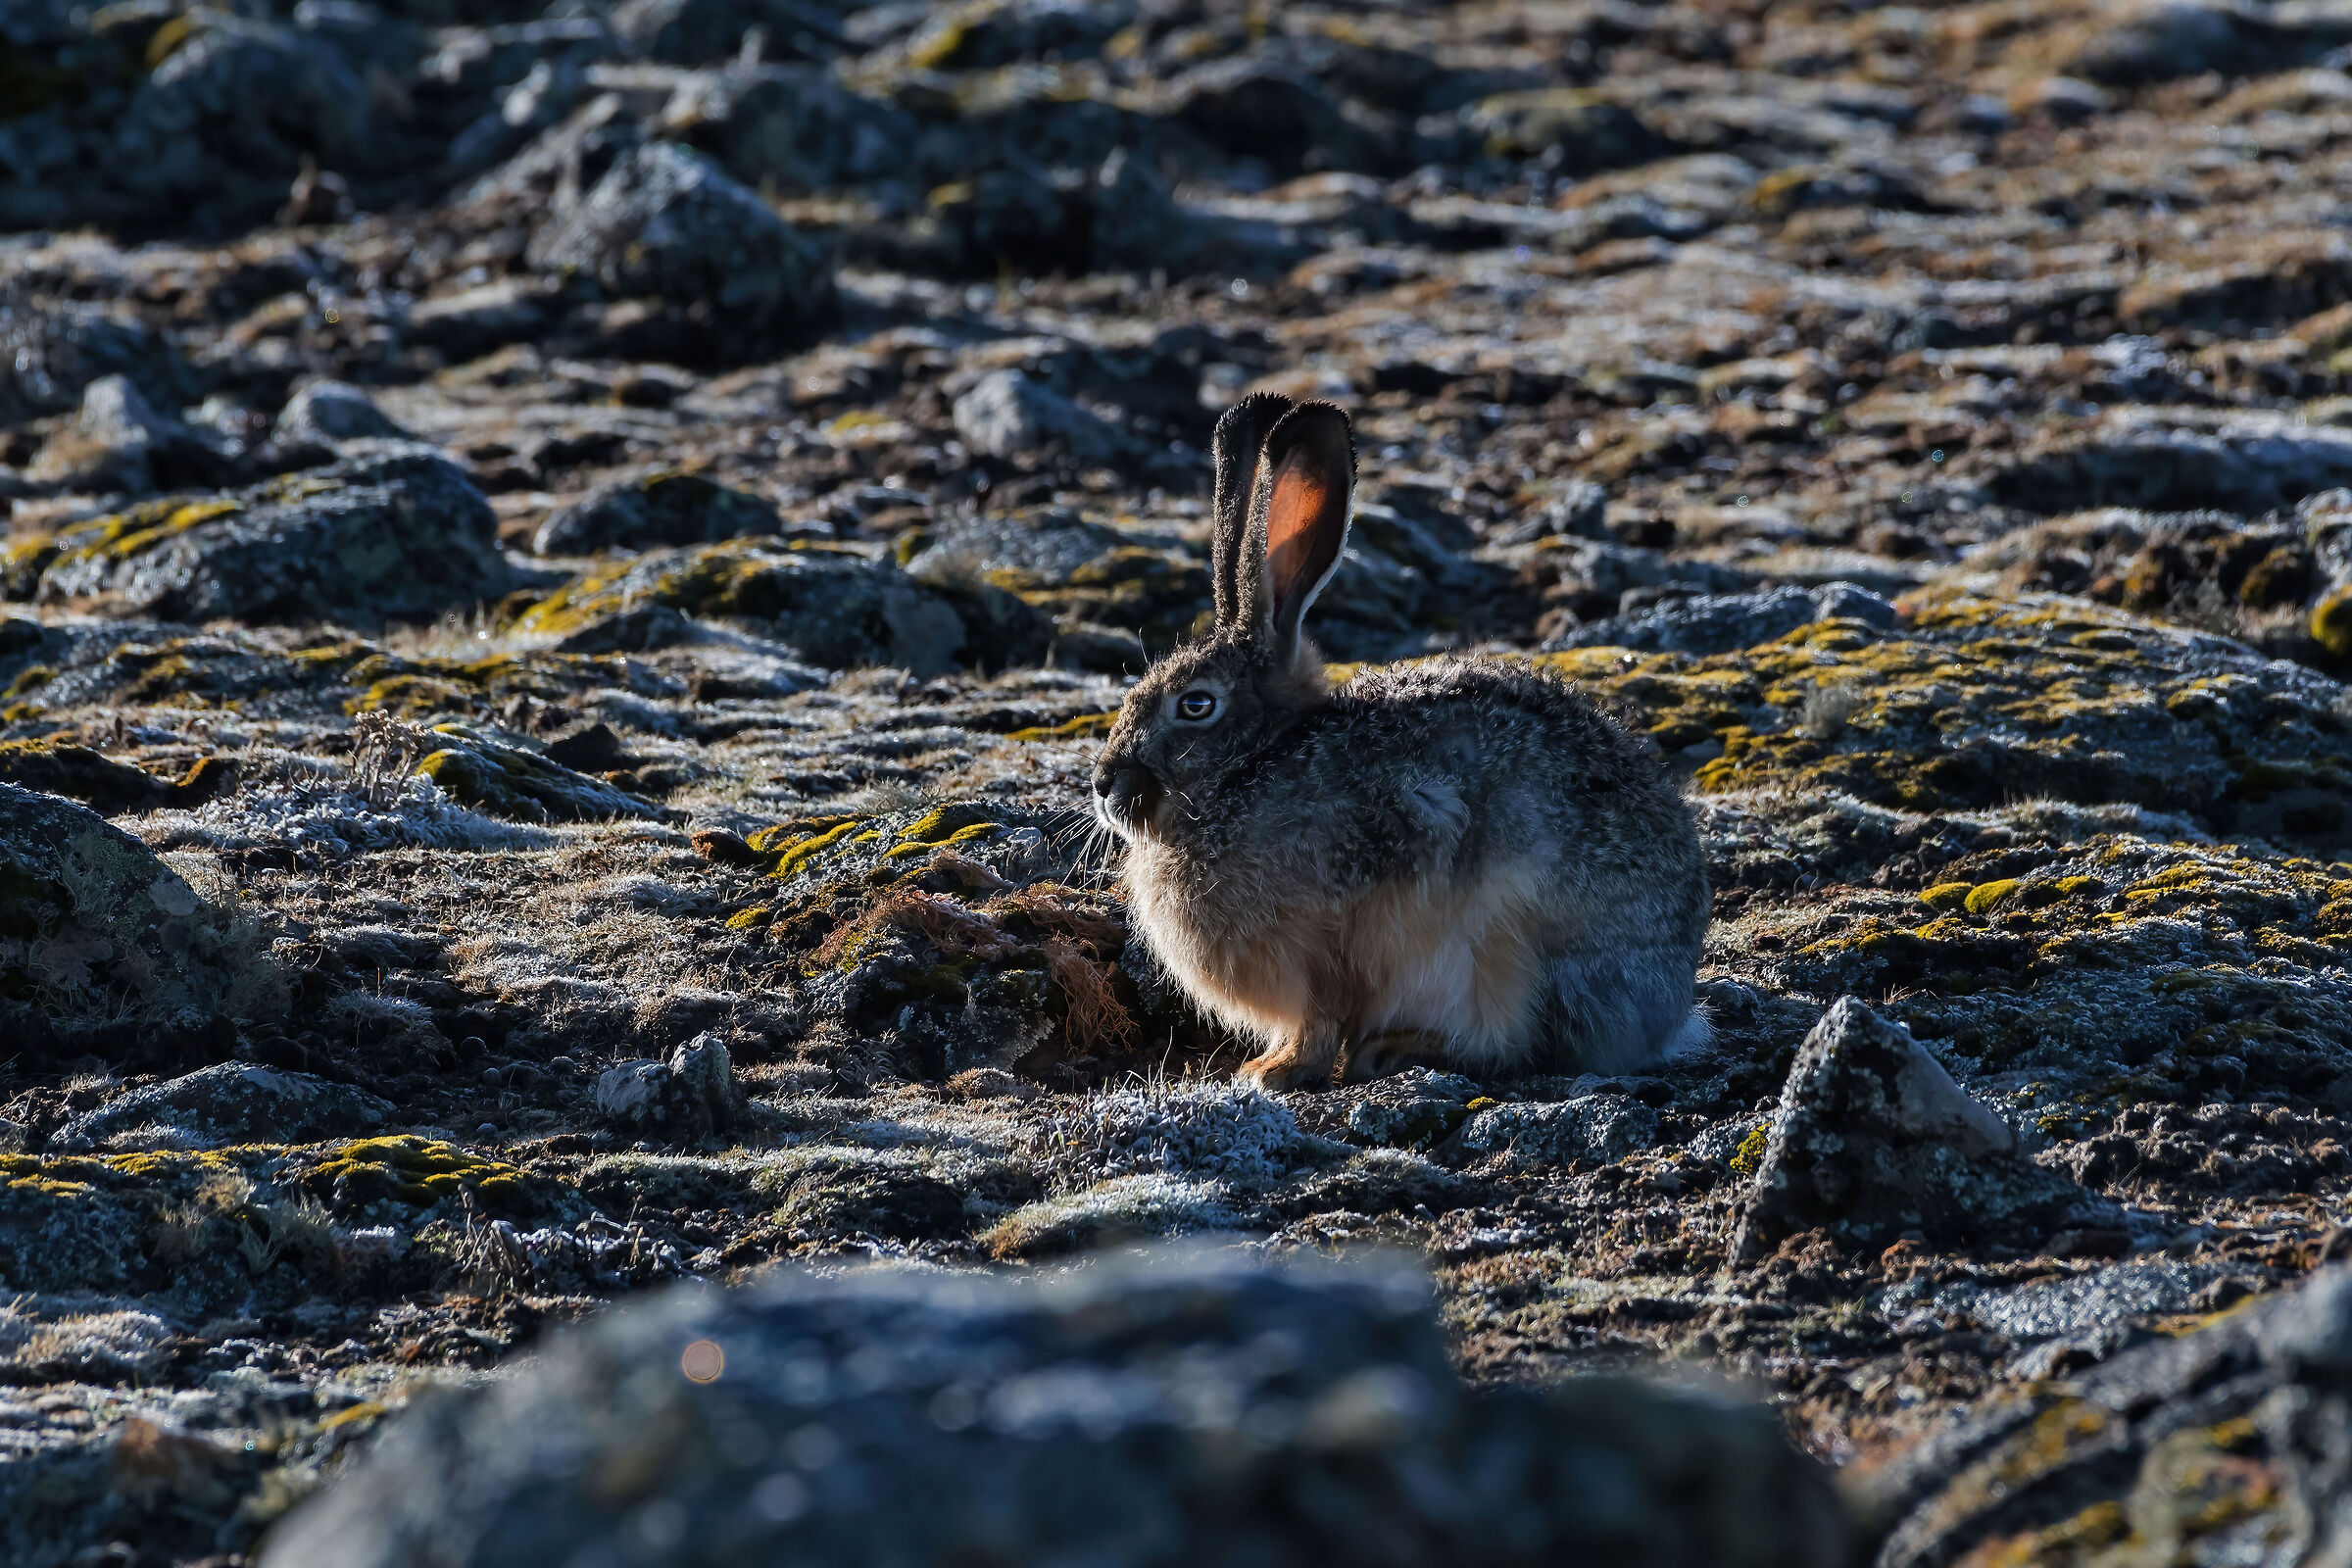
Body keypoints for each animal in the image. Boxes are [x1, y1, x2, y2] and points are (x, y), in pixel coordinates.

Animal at [1090, 392, 1711, 1090]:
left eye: (1195, 705)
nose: (1103, 785)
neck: (1249, 768)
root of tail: (1668, 1008)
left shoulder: (1327, 940)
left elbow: (1320, 1021)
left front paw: (1270, 1072)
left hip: (1517, 950)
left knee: (1521, 1046)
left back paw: (1402, 1049)